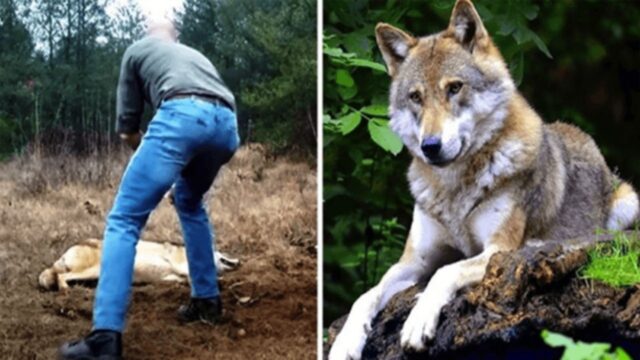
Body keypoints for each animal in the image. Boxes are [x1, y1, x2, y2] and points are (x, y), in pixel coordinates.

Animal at [40, 238, 240, 292]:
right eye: (224, 253)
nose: (239, 261)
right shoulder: (181, 265)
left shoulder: (174, 277)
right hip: (95, 270)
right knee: (62, 276)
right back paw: (66, 290)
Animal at [330, 1, 640, 358]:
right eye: (416, 97)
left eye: (454, 87)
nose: (430, 146)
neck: (454, 188)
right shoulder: (413, 260)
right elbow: (366, 295)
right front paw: (344, 343)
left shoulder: (497, 249)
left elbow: (444, 272)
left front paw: (417, 322)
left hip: (628, 202)